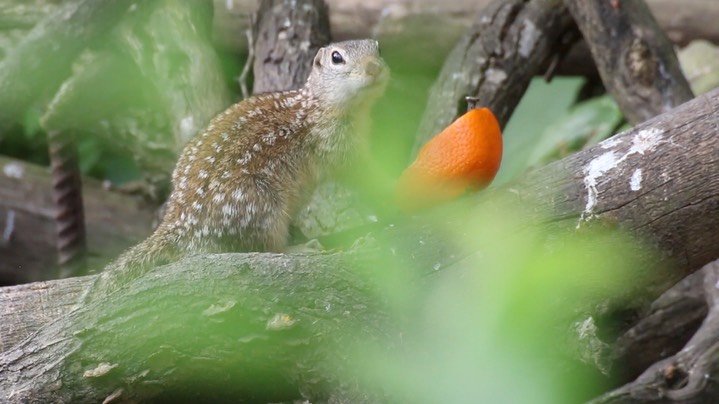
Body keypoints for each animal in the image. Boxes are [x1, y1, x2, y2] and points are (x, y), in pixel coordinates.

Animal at [88, 40, 388, 300]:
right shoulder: (337, 146)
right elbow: (359, 171)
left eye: (378, 48)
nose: (375, 67)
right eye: (337, 58)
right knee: (266, 250)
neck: (316, 105)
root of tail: (176, 223)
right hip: (262, 205)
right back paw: (302, 247)